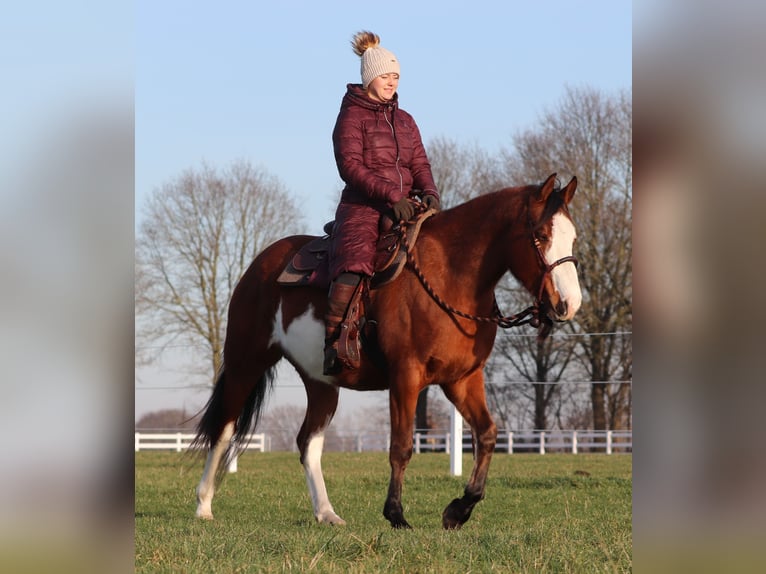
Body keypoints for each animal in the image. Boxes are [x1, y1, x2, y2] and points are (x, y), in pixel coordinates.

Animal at [192, 173, 582, 529]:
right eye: (540, 236)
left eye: (573, 237)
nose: (569, 304)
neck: (450, 278)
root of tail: (259, 265)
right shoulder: (405, 377)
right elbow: (402, 446)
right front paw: (396, 514)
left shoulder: (462, 380)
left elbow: (486, 435)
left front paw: (458, 510)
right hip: (245, 363)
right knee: (224, 429)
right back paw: (204, 505)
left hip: (321, 382)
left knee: (308, 442)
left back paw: (326, 513)